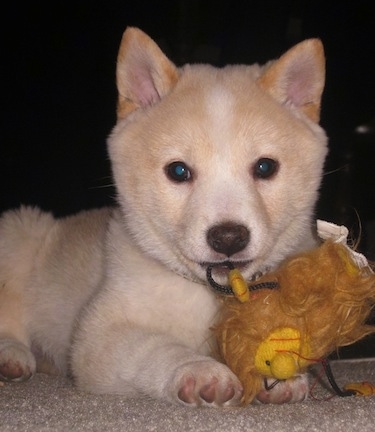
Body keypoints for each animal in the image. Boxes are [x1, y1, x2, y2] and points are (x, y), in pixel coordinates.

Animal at [0, 27, 328, 404]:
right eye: (178, 171)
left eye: (265, 167)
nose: (228, 237)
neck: (210, 294)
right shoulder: (100, 334)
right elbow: (155, 346)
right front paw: (197, 370)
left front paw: (276, 373)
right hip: (19, 233)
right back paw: (12, 355)